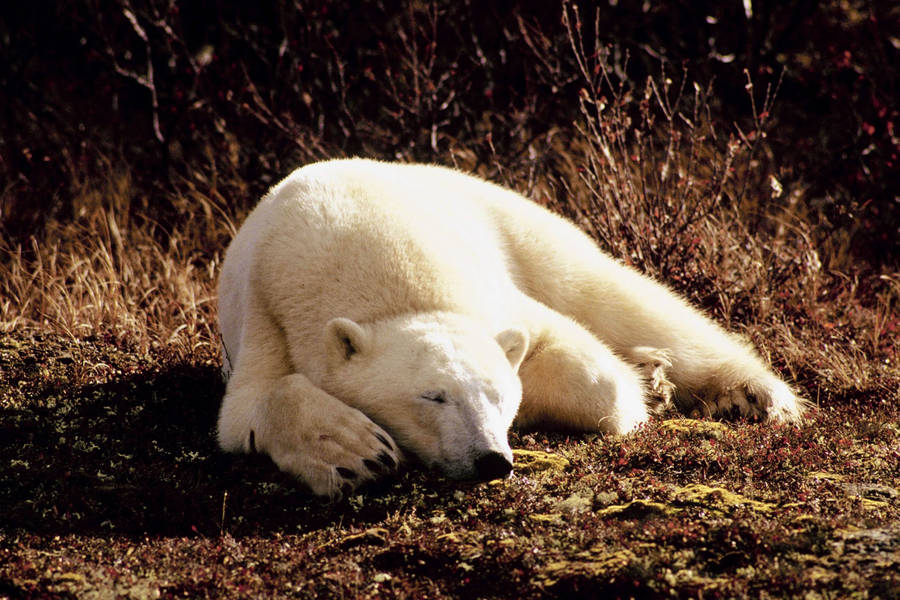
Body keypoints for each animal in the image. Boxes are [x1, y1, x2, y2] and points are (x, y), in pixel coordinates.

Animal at [217, 158, 804, 498]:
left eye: (498, 394)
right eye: (432, 396)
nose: (490, 460)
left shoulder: (491, 291)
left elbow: (586, 368)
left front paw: (642, 388)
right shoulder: (270, 310)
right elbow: (250, 405)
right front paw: (355, 449)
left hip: (516, 223)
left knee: (613, 295)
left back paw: (752, 394)